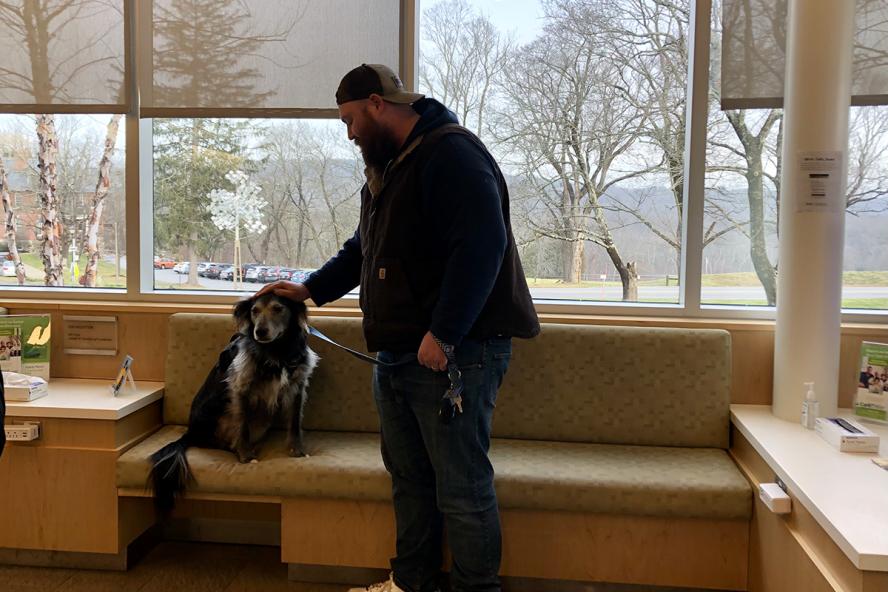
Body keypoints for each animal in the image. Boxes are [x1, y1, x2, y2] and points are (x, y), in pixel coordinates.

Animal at [149, 294, 320, 512]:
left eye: (278, 308)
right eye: (254, 311)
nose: (259, 332)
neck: (277, 349)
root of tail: (190, 433)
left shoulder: (298, 386)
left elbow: (295, 423)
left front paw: (297, 451)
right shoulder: (242, 388)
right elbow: (243, 427)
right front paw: (246, 456)